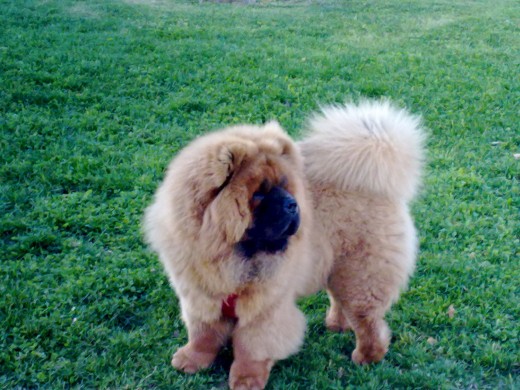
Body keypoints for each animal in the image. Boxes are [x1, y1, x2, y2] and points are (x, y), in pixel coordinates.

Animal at [144, 101, 424, 390]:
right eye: (258, 194)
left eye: (283, 187)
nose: (293, 204)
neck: (230, 256)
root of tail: (374, 184)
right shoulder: (200, 294)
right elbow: (203, 333)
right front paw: (191, 360)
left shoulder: (265, 306)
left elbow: (252, 346)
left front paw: (246, 379)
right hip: (338, 268)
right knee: (340, 300)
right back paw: (336, 325)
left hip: (361, 276)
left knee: (368, 321)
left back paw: (367, 356)